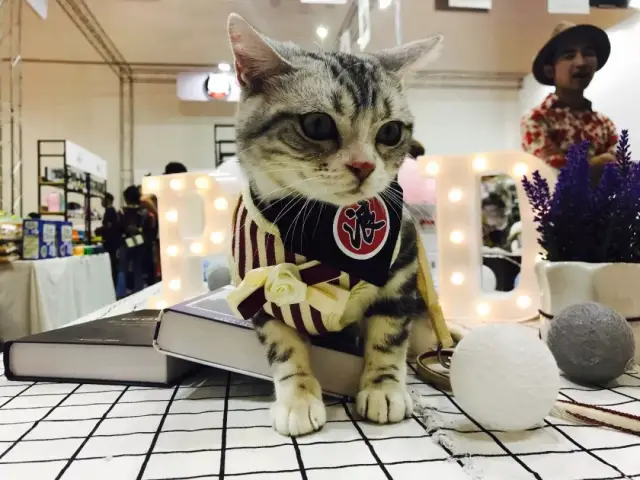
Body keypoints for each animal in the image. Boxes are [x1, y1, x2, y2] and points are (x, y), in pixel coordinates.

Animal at [227, 13, 443, 436]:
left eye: (390, 131)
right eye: (316, 124)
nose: (364, 165)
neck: (321, 229)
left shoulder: (403, 264)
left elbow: (390, 334)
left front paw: (383, 388)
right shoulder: (259, 286)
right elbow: (283, 346)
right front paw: (297, 397)